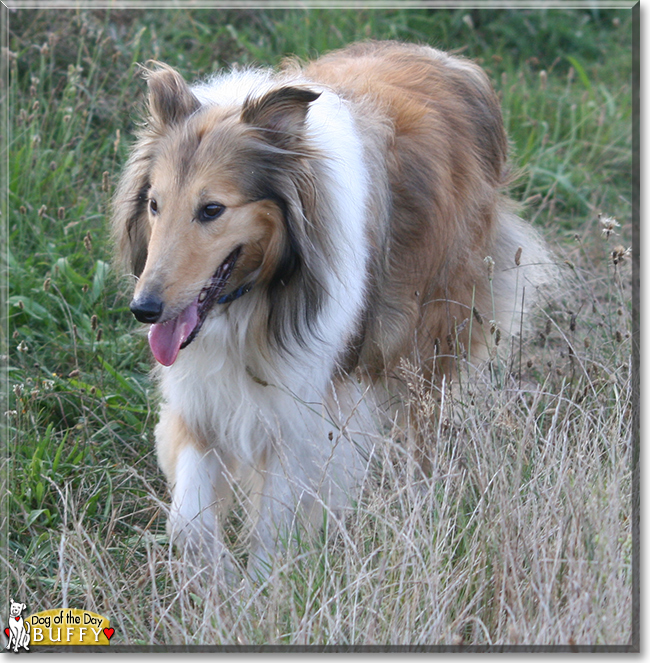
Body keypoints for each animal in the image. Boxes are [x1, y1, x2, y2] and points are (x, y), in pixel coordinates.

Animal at [112, 40, 548, 576]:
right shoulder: (203, 397)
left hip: (434, 333)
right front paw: (218, 578)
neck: (259, 296)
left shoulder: (304, 409)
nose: (145, 309)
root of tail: (451, 61)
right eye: (154, 204)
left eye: (211, 209)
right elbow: (189, 524)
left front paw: (265, 589)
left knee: (423, 427)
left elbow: (275, 522)